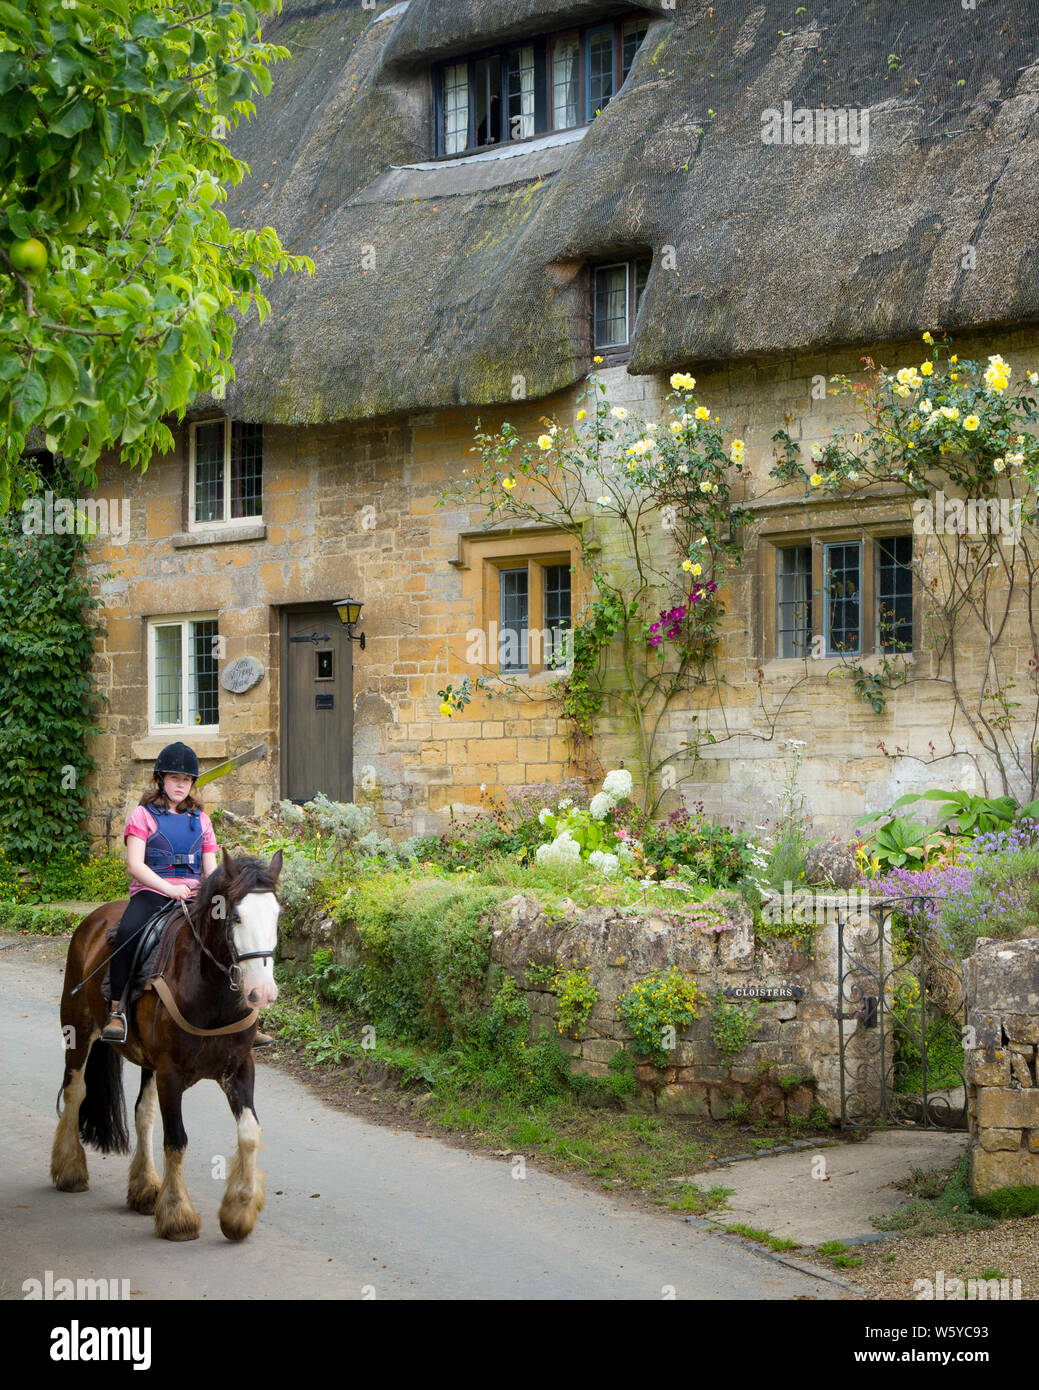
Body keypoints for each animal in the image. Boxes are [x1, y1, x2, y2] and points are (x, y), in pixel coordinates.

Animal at [50, 850, 282, 1245]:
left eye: (277, 915)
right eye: (236, 916)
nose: (262, 992)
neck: (211, 993)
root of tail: (93, 919)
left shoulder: (238, 1067)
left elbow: (250, 1135)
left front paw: (239, 1212)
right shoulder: (171, 1074)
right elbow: (177, 1140)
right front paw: (177, 1216)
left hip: (149, 1063)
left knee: (143, 1113)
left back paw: (145, 1189)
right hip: (78, 1031)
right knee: (75, 1091)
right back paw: (70, 1170)